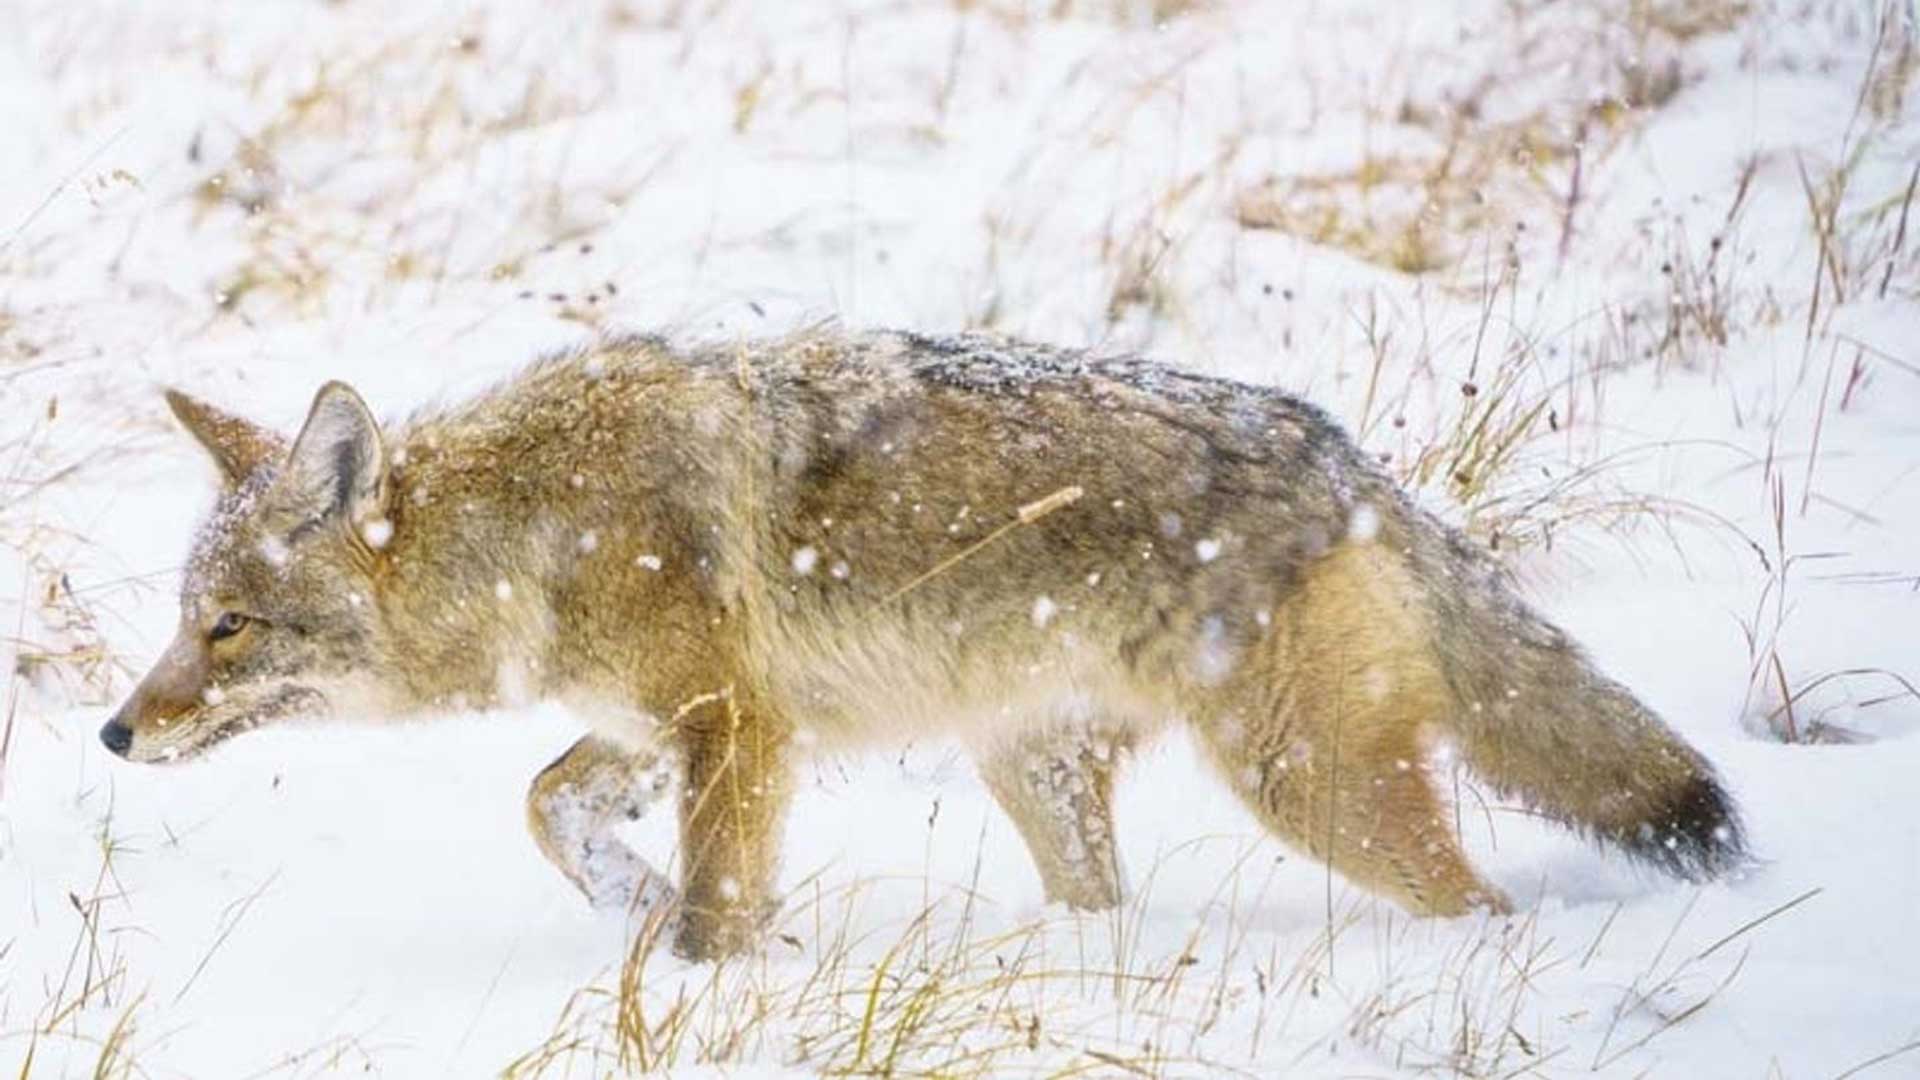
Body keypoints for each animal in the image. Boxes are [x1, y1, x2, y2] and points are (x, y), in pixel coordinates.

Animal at [102, 329, 1745, 959]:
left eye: (224, 627)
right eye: (178, 624)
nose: (115, 732)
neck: (538, 532)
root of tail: (1347, 459)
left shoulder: (734, 729)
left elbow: (714, 905)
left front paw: (707, 978)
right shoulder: (660, 727)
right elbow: (547, 807)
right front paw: (636, 906)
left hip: (1313, 790)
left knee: (1482, 906)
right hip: (1039, 774)